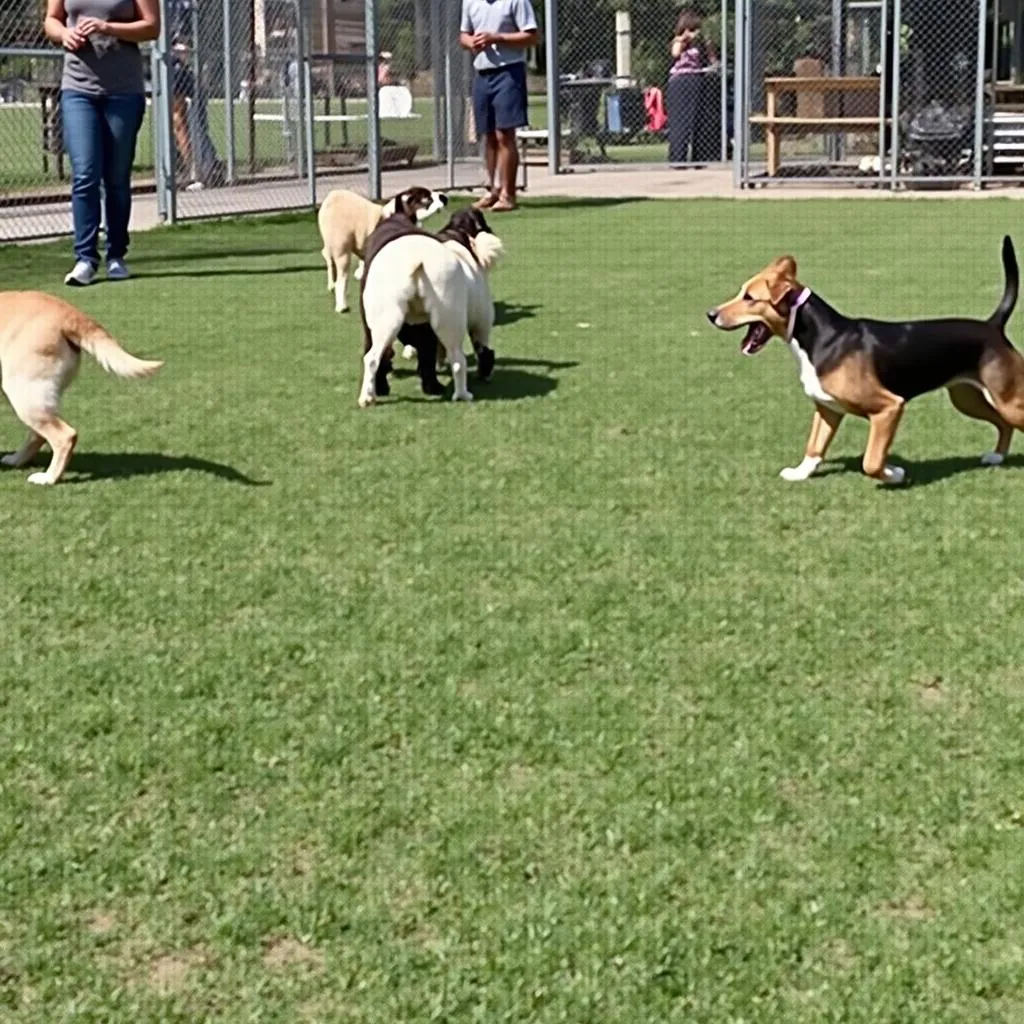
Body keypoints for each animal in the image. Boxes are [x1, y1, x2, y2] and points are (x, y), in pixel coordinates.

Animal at [0, 290, 161, 485]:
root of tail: (68, 313)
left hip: (23, 392)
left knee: (64, 436)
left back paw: (49, 478)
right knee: (38, 434)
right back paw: (16, 460)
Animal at [317, 184, 446, 311]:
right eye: (427, 198)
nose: (444, 197)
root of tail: (331, 196)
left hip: (331, 242)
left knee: (328, 257)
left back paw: (332, 285)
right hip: (341, 245)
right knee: (342, 278)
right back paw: (341, 305)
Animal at [360, 205, 503, 405]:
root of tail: (416, 259)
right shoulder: (481, 320)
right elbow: (483, 349)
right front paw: (485, 371)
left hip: (385, 319)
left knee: (373, 358)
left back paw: (367, 397)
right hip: (449, 319)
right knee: (458, 360)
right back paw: (462, 395)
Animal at [708, 237, 1024, 485]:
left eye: (750, 298)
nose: (710, 314)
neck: (823, 338)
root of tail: (992, 326)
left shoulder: (889, 408)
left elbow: (871, 461)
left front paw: (894, 473)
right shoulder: (827, 409)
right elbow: (814, 446)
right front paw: (800, 473)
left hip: (1006, 400)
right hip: (968, 398)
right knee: (1002, 424)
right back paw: (997, 456)